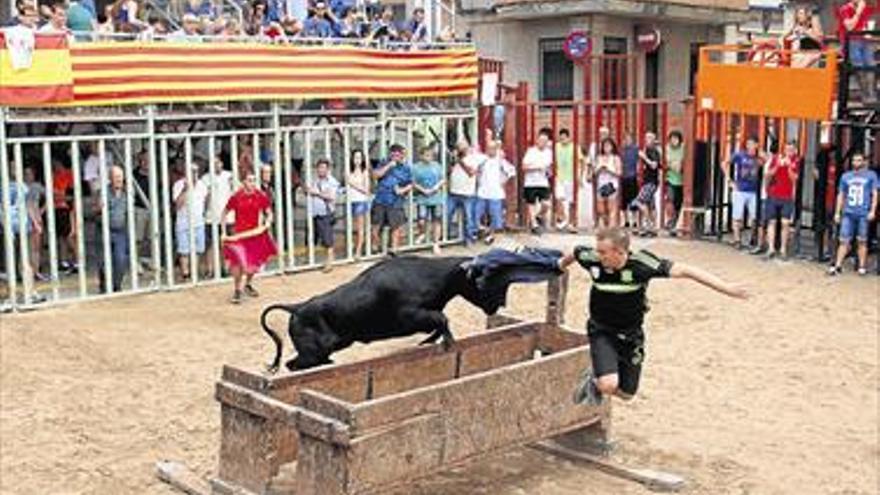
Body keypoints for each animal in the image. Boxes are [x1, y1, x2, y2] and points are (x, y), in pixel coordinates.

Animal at [260, 256, 502, 372]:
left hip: (326, 348)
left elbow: (439, 322)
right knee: (296, 365)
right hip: (313, 352)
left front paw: (429, 341)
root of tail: (298, 307)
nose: (497, 305)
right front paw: (446, 342)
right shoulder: (409, 316)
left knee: (295, 363)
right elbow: (441, 319)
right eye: (481, 278)